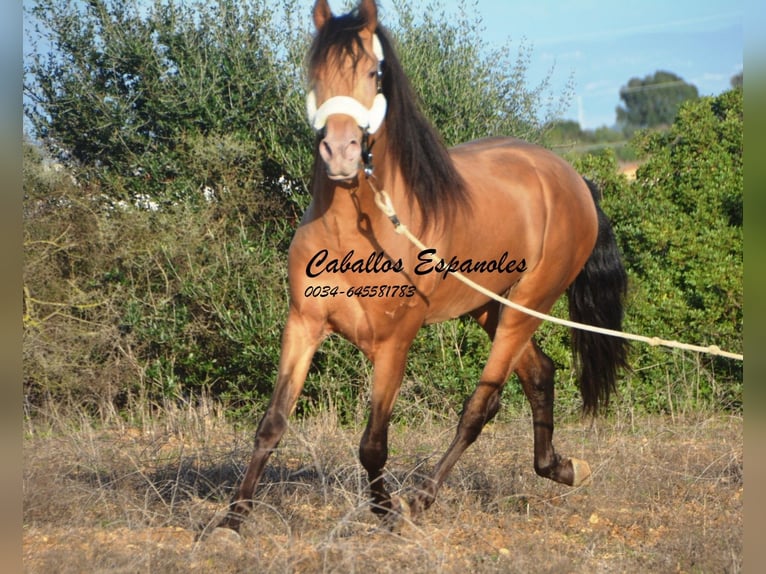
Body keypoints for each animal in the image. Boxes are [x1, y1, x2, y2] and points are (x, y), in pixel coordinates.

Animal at [216, 0, 632, 536]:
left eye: (374, 73)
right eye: (314, 73)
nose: (340, 153)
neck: (358, 231)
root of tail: (573, 180)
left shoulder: (395, 342)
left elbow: (372, 444)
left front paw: (388, 512)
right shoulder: (303, 324)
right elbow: (271, 424)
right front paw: (232, 520)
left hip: (527, 305)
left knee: (481, 405)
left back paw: (422, 498)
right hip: (488, 307)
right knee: (539, 374)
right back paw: (562, 468)